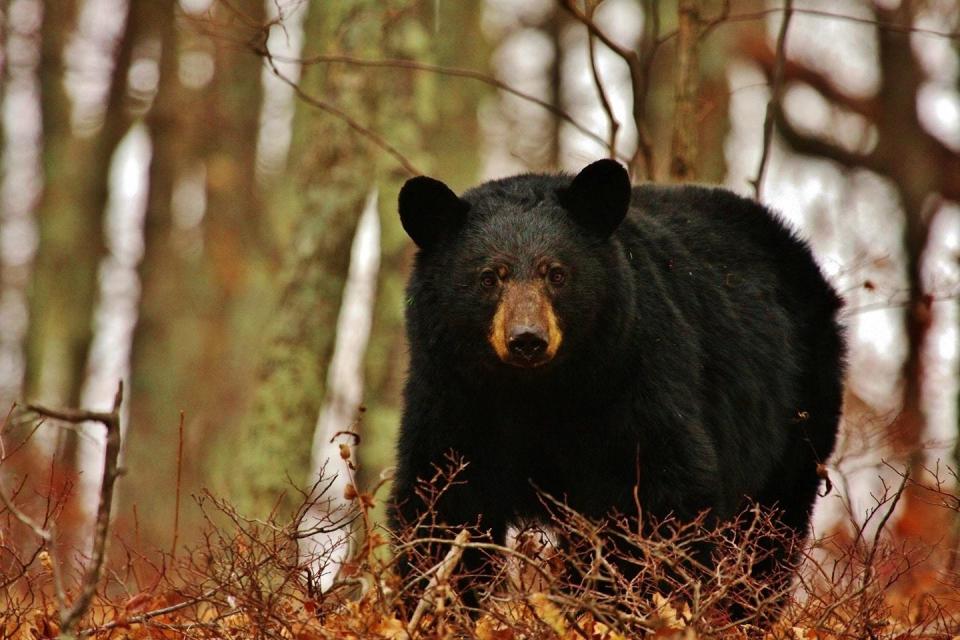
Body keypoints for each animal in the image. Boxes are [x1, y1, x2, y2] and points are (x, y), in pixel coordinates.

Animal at [386, 160, 844, 604]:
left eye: (556, 273)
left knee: (768, 537)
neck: (535, 392)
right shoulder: (453, 393)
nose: (527, 340)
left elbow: (658, 498)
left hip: (798, 411)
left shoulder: (633, 379)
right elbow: (443, 503)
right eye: (488, 277)